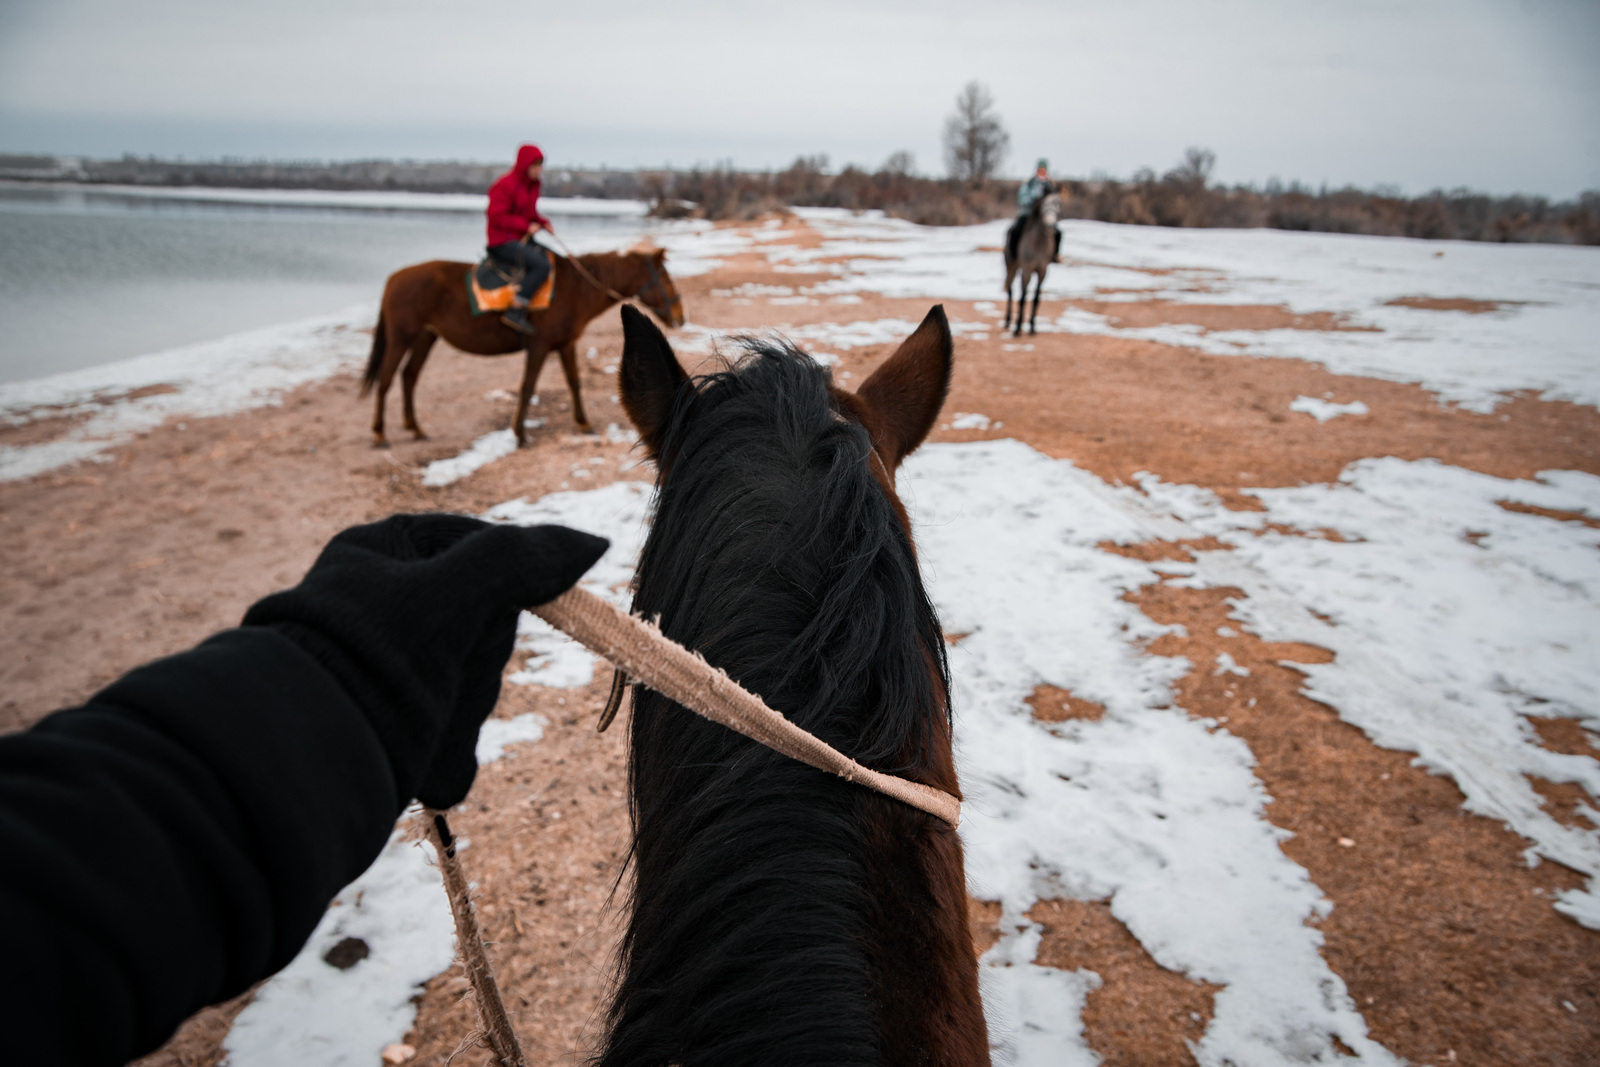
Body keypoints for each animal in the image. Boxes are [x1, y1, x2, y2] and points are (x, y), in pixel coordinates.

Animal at [360, 247, 684, 447]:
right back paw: (379, 433)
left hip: (426, 337)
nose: (681, 316)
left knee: (409, 376)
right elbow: (527, 387)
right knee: (386, 379)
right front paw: (519, 434)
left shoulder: (565, 344)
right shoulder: (539, 347)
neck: (575, 289)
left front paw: (583, 423)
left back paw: (414, 428)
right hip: (402, 337)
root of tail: (393, 279)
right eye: (665, 277)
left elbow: (574, 382)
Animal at [1004, 191, 1056, 334]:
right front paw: (1017, 328)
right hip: (1011, 266)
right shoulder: (1026, 269)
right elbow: (1022, 297)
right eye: (1043, 205)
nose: (1050, 225)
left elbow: (1036, 298)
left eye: (1058, 204)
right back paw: (1008, 320)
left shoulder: (1043, 270)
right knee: (1011, 290)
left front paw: (1032, 326)